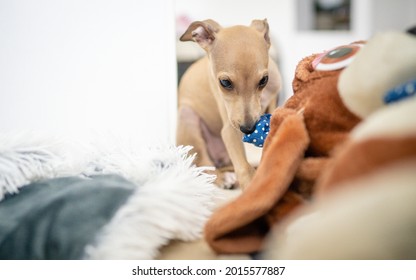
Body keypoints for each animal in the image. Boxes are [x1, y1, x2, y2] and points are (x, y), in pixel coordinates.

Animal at [177, 19, 282, 189]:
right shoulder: (230, 130)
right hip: (187, 116)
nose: (248, 128)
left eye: (264, 80)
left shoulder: (272, 102)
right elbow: (243, 167)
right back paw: (223, 178)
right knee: (203, 166)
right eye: (225, 82)